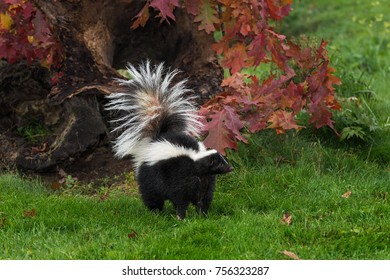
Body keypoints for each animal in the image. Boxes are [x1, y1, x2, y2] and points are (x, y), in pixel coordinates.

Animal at [105, 60, 233, 219]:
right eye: (220, 163)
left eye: (224, 160)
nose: (231, 167)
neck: (197, 164)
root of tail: (157, 138)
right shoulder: (181, 178)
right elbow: (180, 198)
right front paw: (181, 217)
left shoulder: (205, 182)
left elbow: (203, 199)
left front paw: (203, 216)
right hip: (150, 176)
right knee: (151, 196)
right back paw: (156, 213)